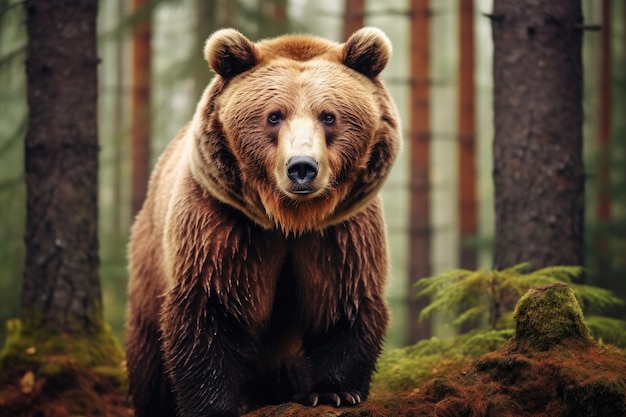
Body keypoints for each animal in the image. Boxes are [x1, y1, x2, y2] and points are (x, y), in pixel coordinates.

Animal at [126, 26, 400, 416]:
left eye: (328, 116)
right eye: (274, 116)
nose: (302, 167)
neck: (291, 218)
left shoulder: (340, 231)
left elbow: (343, 299)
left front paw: (333, 391)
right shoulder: (223, 223)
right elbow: (210, 307)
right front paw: (214, 405)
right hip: (150, 262)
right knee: (150, 353)